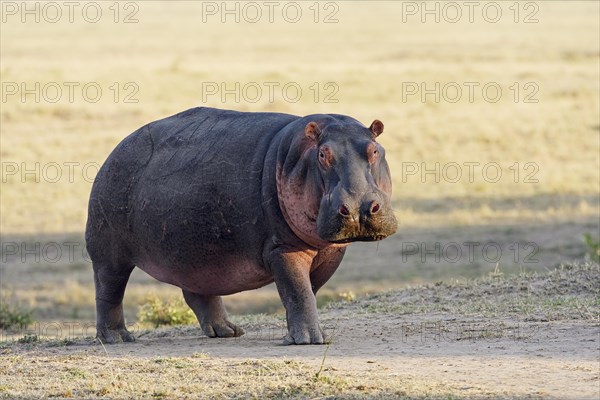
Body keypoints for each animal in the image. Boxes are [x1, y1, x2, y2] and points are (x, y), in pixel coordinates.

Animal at [84, 106, 396, 344]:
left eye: (375, 150)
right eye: (323, 155)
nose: (358, 209)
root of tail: (116, 149)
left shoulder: (331, 252)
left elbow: (306, 292)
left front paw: (306, 333)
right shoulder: (282, 248)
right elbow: (298, 291)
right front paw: (311, 340)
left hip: (196, 255)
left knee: (198, 292)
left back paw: (227, 332)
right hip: (108, 252)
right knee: (108, 291)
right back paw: (117, 338)